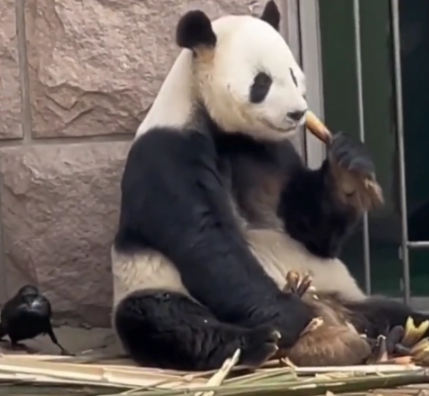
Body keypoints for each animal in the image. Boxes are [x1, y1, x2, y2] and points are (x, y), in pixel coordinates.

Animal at [110, 1, 428, 372]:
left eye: (292, 74)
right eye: (261, 82)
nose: (297, 113)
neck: (222, 127)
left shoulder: (271, 153)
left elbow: (310, 229)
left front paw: (348, 169)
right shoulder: (169, 154)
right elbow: (207, 241)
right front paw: (293, 318)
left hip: (342, 290)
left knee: (394, 312)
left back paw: (395, 337)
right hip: (148, 280)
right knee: (165, 319)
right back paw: (262, 342)